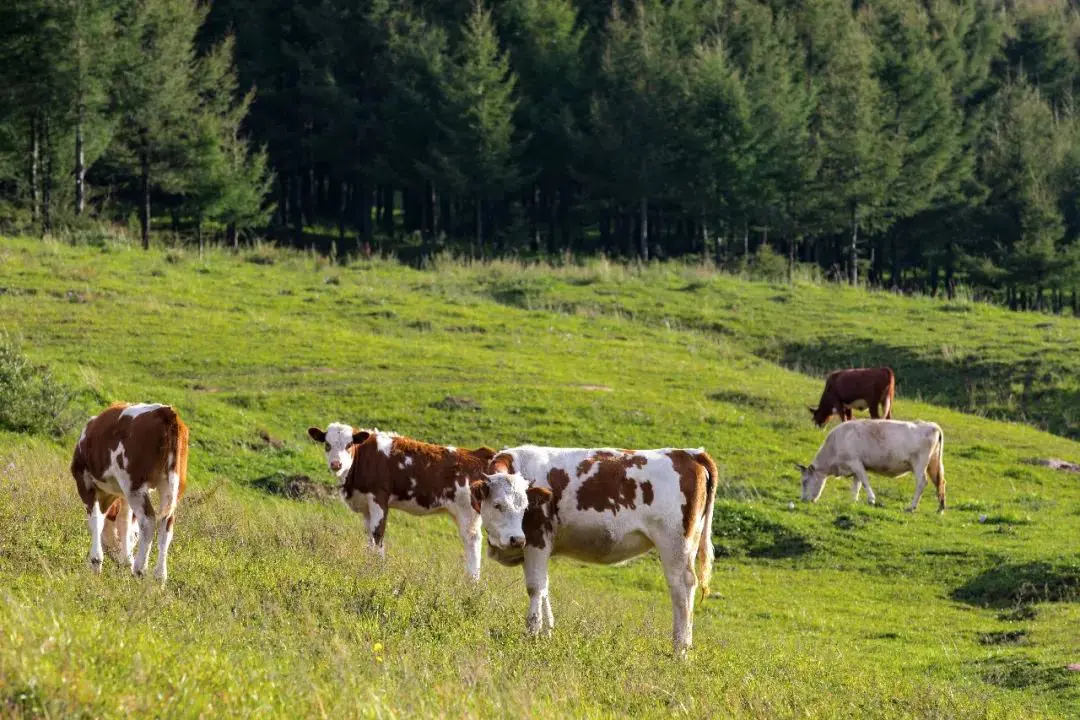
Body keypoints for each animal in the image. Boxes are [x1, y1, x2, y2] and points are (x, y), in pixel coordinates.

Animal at [70, 403, 189, 582]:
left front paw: (96, 561)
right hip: (171, 486)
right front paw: (126, 560)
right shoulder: (122, 494)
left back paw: (140, 569)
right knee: (166, 524)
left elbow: (96, 520)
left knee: (148, 521)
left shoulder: (84, 481)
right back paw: (159, 576)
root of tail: (165, 411)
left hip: (134, 485)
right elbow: (125, 522)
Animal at [308, 423, 496, 578]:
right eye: (327, 444)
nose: (336, 464)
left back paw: (472, 581)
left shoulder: (378, 497)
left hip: (468, 512)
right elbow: (369, 534)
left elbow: (378, 532)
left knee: (472, 540)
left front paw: (378, 567)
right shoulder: (365, 505)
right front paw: (369, 561)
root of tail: (477, 454)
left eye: (349, 445)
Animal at [473, 444, 717, 660]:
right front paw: (547, 632)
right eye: (497, 505)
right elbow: (544, 589)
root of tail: (689, 453)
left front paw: (532, 633)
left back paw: (680, 650)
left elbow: (535, 588)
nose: (516, 539)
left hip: (675, 543)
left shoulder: (536, 540)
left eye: (525, 508)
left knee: (682, 589)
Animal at [794, 416, 946, 511]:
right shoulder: (854, 468)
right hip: (933, 464)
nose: (803, 500)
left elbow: (865, 481)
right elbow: (856, 485)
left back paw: (911, 507)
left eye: (805, 481)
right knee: (940, 482)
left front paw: (871, 499)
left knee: (922, 482)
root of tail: (932, 425)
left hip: (919, 464)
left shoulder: (856, 462)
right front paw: (853, 501)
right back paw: (941, 508)